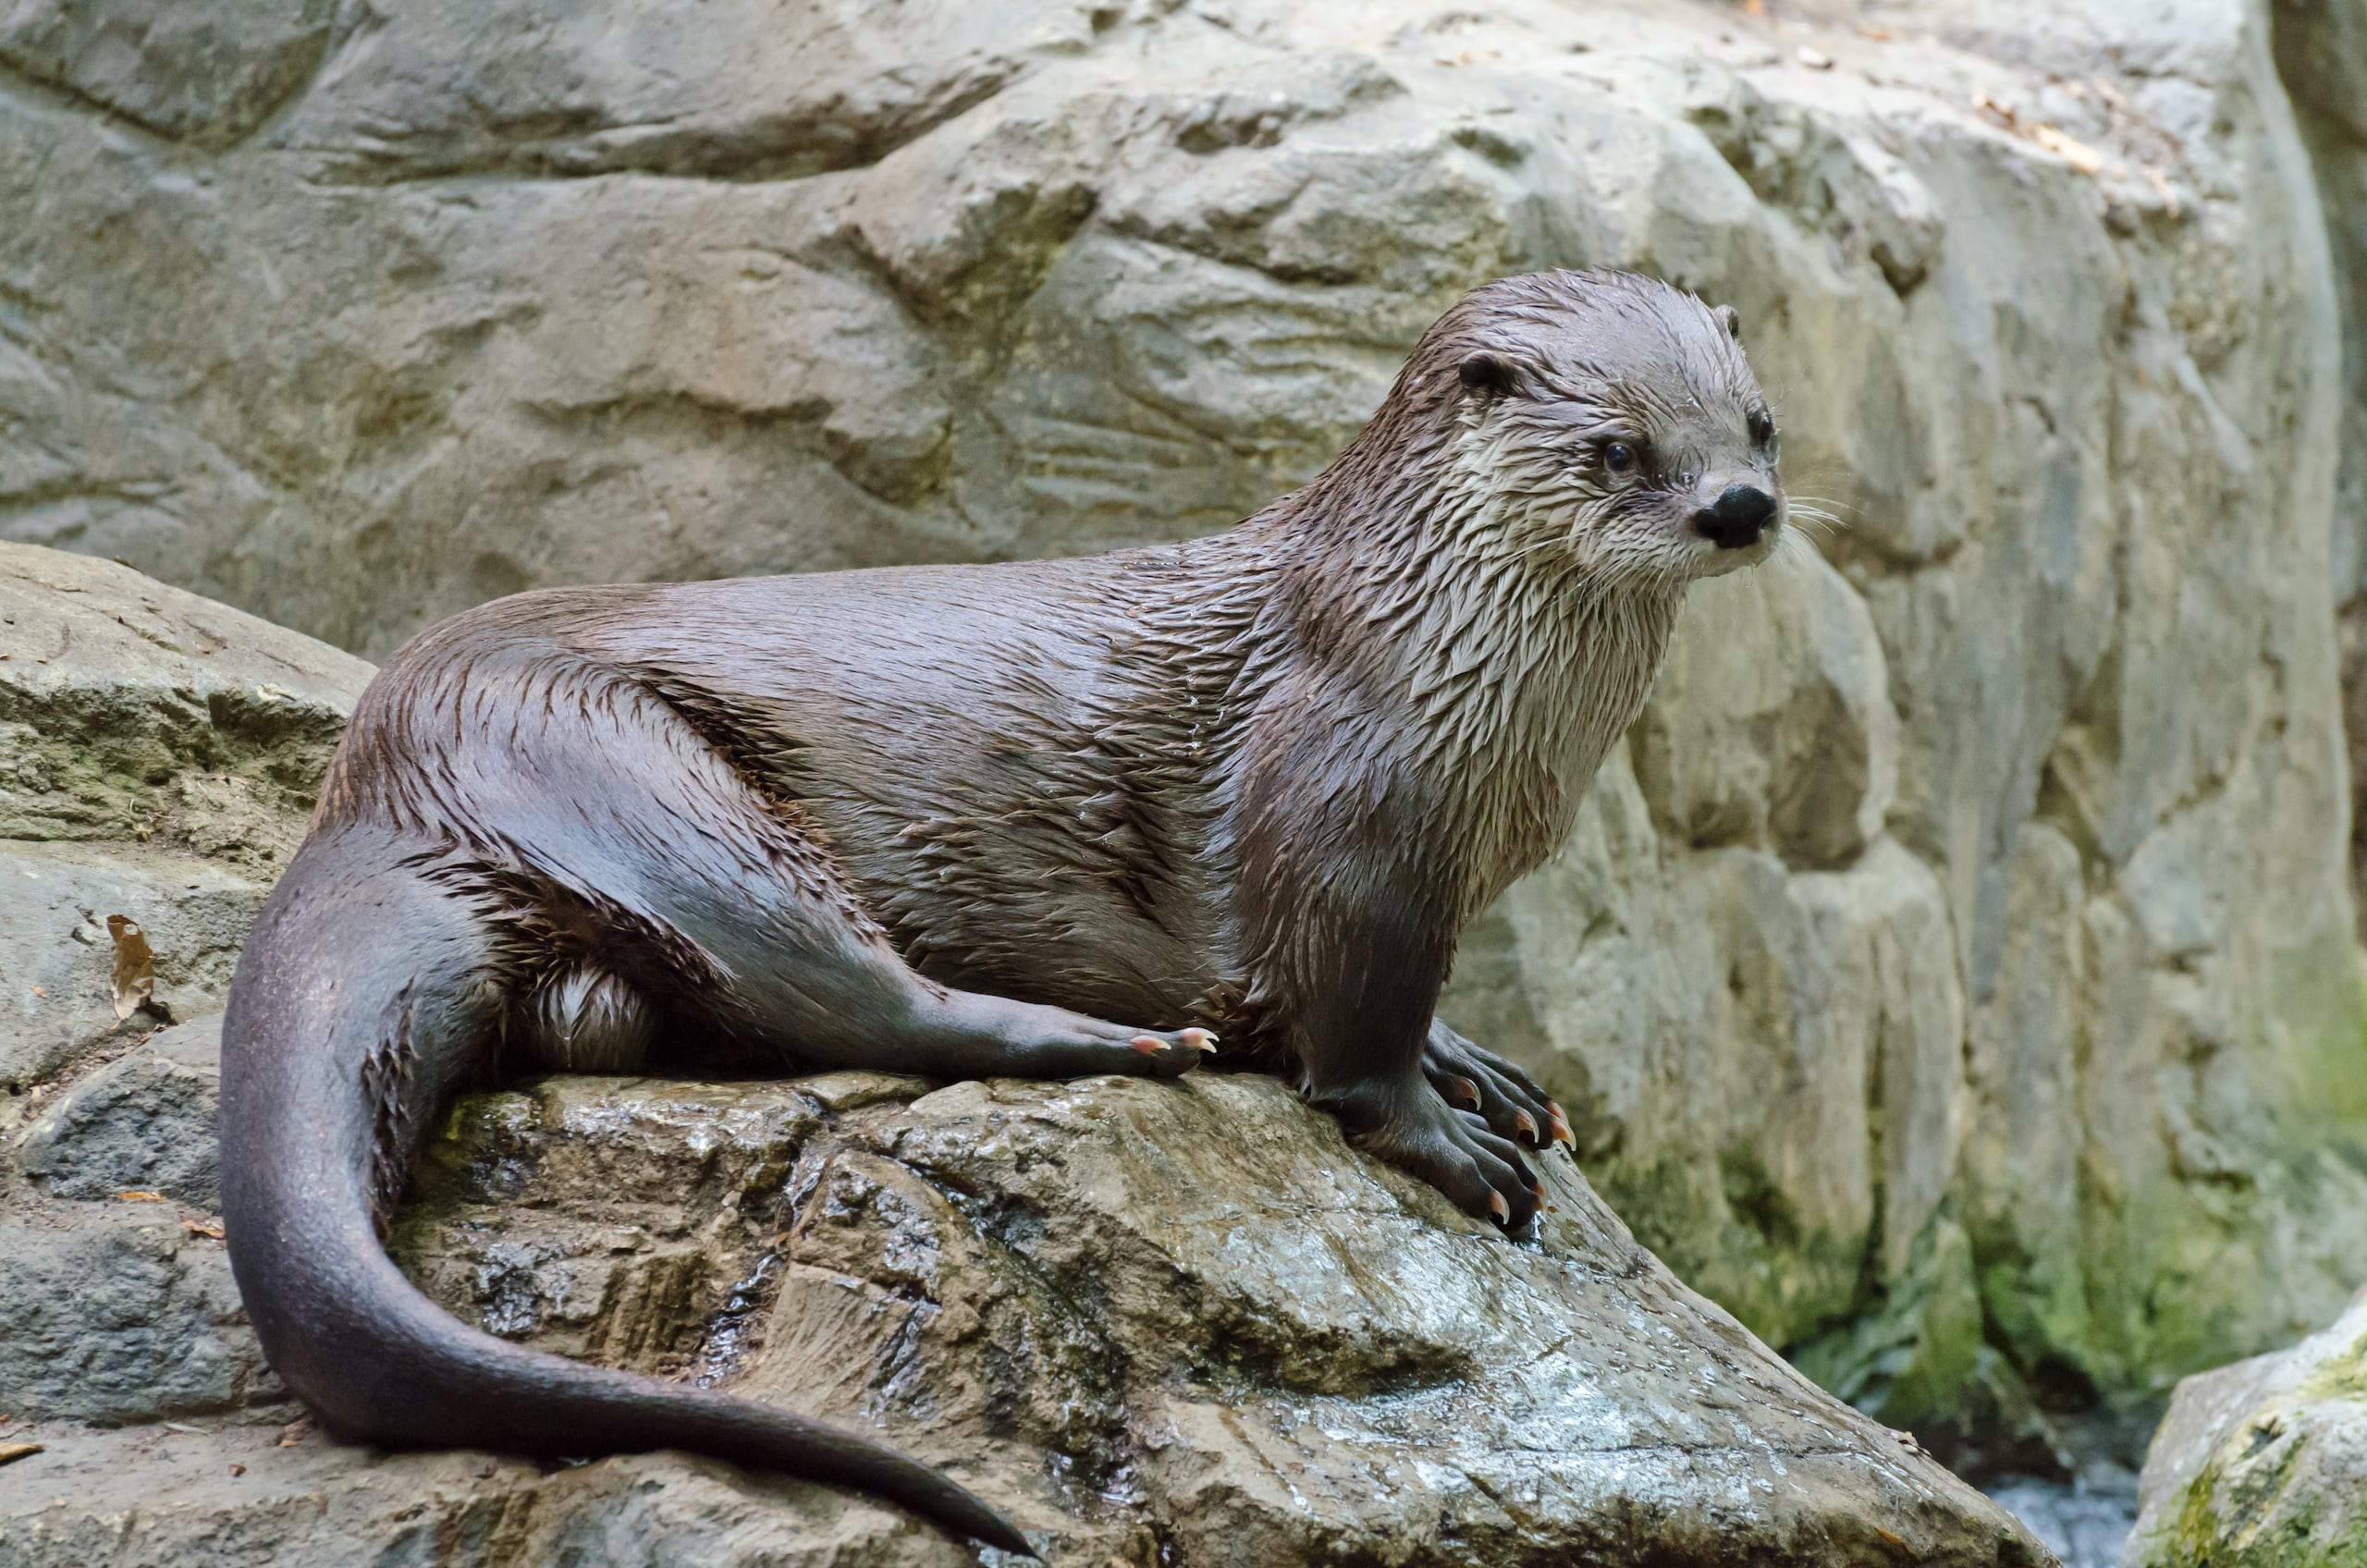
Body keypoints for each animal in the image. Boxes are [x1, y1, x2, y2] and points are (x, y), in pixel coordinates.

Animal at [222, 263, 1780, 1553]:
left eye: (1759, 424)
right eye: (1619, 449)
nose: (1742, 506)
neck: (1436, 652)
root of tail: (379, 787)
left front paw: (1482, 1071)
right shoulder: (1356, 830)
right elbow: (1353, 1049)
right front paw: (1451, 1143)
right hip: (630, 781)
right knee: (861, 1000)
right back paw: (1116, 1042)